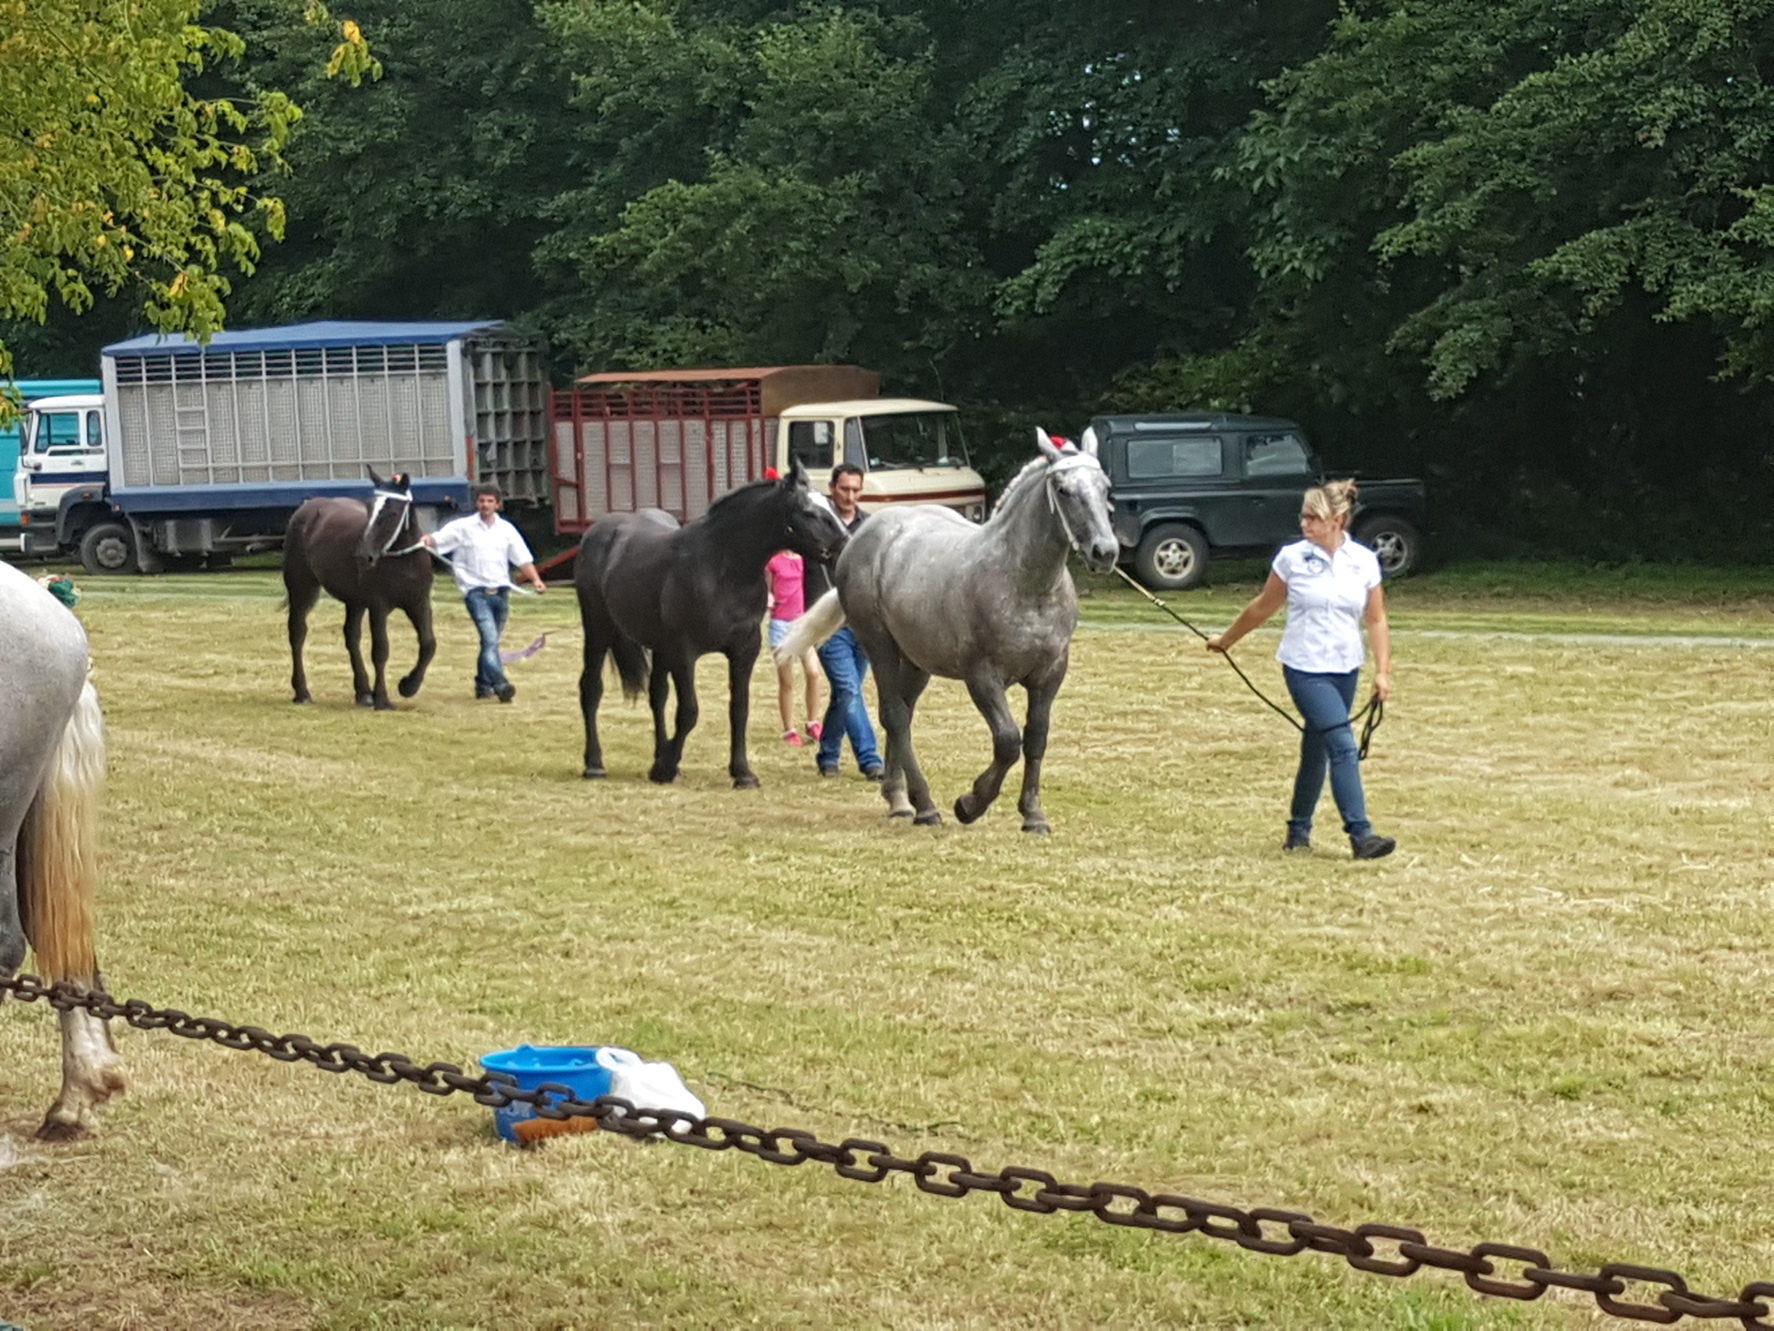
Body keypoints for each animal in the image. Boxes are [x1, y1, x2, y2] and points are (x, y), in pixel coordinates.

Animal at [283, 472, 439, 713]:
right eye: (369, 507)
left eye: (392, 511)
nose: (363, 555)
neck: (404, 562)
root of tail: (308, 506)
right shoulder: (378, 606)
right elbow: (381, 650)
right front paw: (382, 699)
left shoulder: (419, 604)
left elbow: (428, 644)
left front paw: (408, 686)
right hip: (301, 589)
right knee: (297, 634)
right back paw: (302, 692)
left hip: (354, 601)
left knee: (351, 637)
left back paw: (364, 692)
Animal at [581, 464, 851, 787]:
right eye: (809, 511)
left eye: (830, 505)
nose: (847, 544)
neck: (722, 568)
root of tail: (601, 530)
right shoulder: (684, 652)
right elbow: (689, 712)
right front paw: (667, 767)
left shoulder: (744, 650)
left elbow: (739, 709)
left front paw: (742, 773)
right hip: (597, 630)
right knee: (591, 689)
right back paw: (595, 764)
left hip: (659, 648)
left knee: (657, 696)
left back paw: (658, 757)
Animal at [773, 433, 1106, 834]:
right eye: (1063, 489)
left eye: (1105, 487)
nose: (1105, 550)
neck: (1025, 586)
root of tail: (859, 539)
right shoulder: (982, 677)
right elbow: (1008, 741)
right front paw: (970, 804)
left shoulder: (1050, 675)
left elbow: (1036, 738)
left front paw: (1033, 815)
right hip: (880, 647)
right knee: (894, 716)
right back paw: (925, 806)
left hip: (916, 662)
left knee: (904, 714)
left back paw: (899, 799)